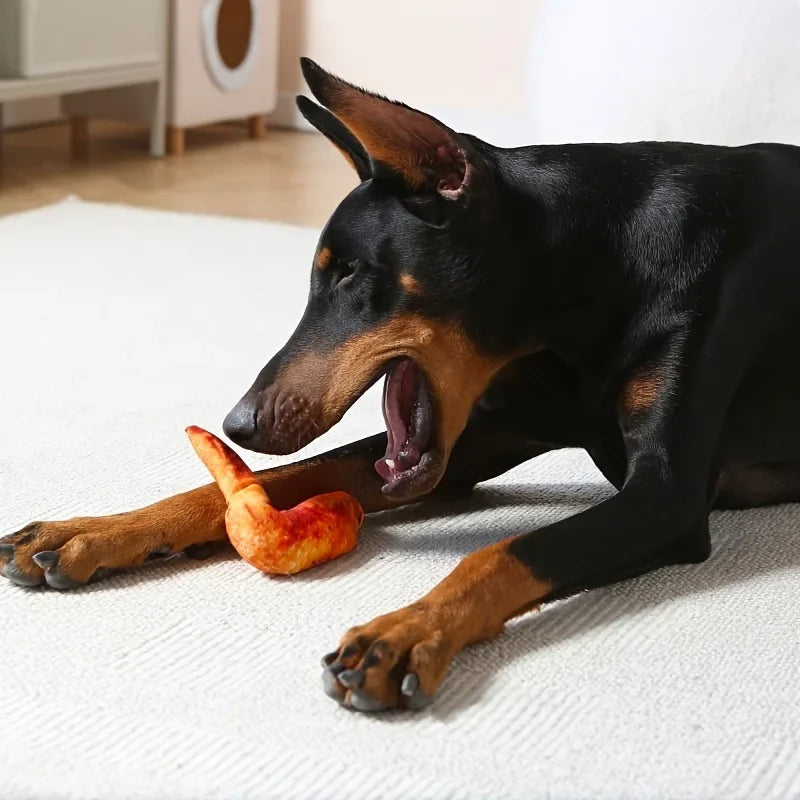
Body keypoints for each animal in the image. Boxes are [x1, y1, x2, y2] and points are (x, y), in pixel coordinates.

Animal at [1, 59, 800, 712]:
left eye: (350, 272)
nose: (238, 423)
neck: (588, 278)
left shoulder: (666, 496)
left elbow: (500, 551)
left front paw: (405, 634)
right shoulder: (477, 438)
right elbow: (262, 482)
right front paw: (92, 532)